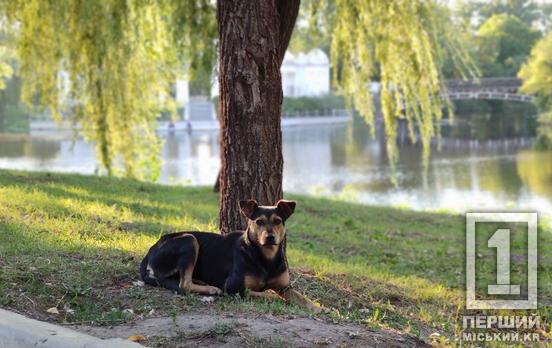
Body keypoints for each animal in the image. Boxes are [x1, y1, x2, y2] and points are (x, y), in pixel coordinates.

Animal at [139, 200, 324, 312]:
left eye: (278, 221)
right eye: (259, 222)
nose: (270, 237)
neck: (265, 257)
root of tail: (150, 250)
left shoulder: (285, 287)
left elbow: (303, 298)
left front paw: (321, 308)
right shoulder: (233, 288)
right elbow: (259, 293)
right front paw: (275, 298)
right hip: (189, 240)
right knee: (184, 284)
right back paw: (211, 289)